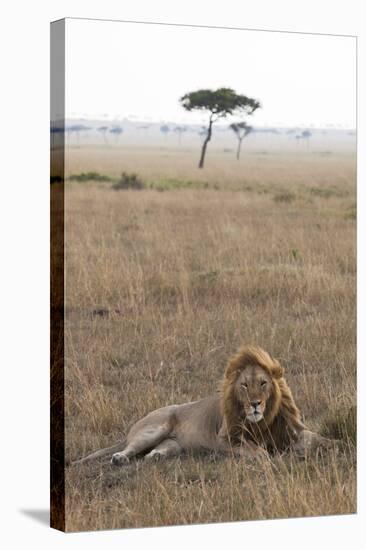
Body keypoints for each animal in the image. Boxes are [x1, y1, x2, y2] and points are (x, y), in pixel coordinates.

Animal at [72, 348, 334, 468]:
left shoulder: (292, 431)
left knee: (155, 451)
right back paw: (119, 458)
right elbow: (256, 450)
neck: (263, 420)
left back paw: (155, 457)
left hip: (174, 444)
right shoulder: (225, 439)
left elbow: (318, 438)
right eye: (244, 385)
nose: (255, 404)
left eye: (263, 383)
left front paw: (335, 444)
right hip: (155, 427)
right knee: (131, 448)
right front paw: (268, 459)